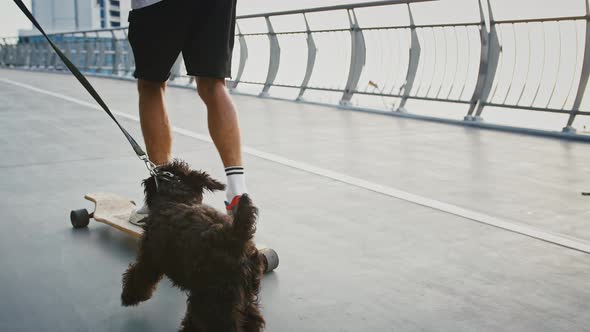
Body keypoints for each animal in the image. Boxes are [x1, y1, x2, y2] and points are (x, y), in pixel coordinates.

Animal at [120, 160, 266, 330]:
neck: (176, 197)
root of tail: (235, 236)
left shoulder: (149, 258)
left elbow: (138, 276)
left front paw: (129, 297)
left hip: (212, 301)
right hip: (244, 296)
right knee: (252, 319)